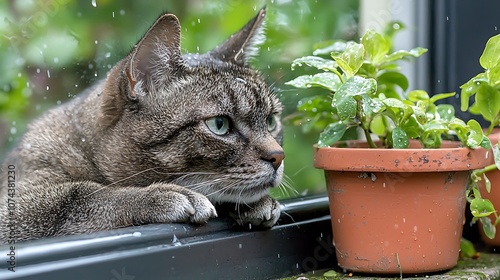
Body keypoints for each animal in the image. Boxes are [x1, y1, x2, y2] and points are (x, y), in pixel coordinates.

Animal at [0, 7, 284, 243]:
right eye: (219, 124)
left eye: (271, 121)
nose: (278, 156)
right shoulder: (15, 204)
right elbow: (80, 195)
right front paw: (157, 195)